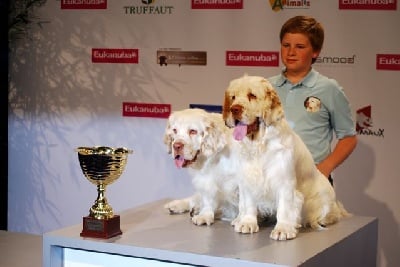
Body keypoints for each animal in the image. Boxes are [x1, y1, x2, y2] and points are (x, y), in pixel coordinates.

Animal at [222, 75, 350, 241]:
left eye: (252, 95)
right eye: (233, 97)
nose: (234, 109)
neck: (259, 144)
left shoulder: (284, 181)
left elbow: (285, 207)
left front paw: (283, 229)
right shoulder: (248, 179)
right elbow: (248, 203)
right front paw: (247, 223)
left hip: (323, 202)